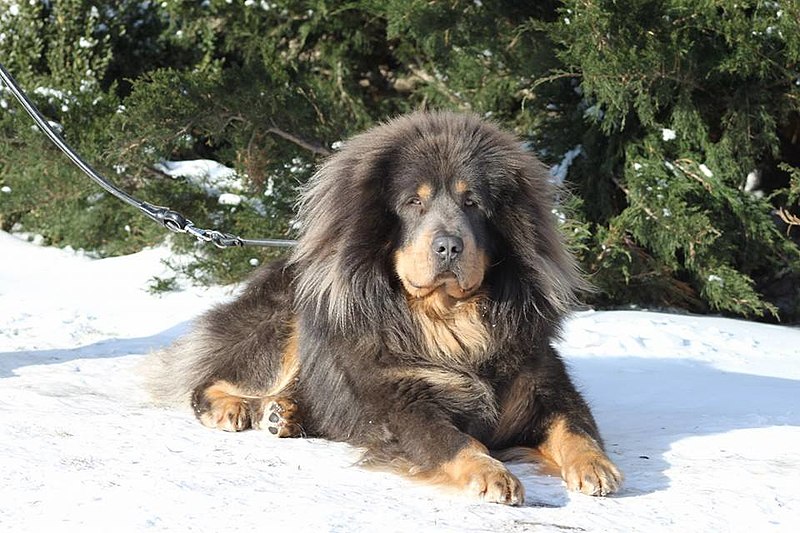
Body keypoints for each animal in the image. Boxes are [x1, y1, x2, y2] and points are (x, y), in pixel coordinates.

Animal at [147, 111, 620, 502]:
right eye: (414, 202)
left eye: (473, 203)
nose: (449, 245)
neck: (450, 321)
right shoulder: (400, 401)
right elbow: (453, 440)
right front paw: (491, 474)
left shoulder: (545, 385)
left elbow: (576, 427)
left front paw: (596, 466)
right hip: (284, 324)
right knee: (211, 378)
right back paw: (235, 407)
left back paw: (286, 413)